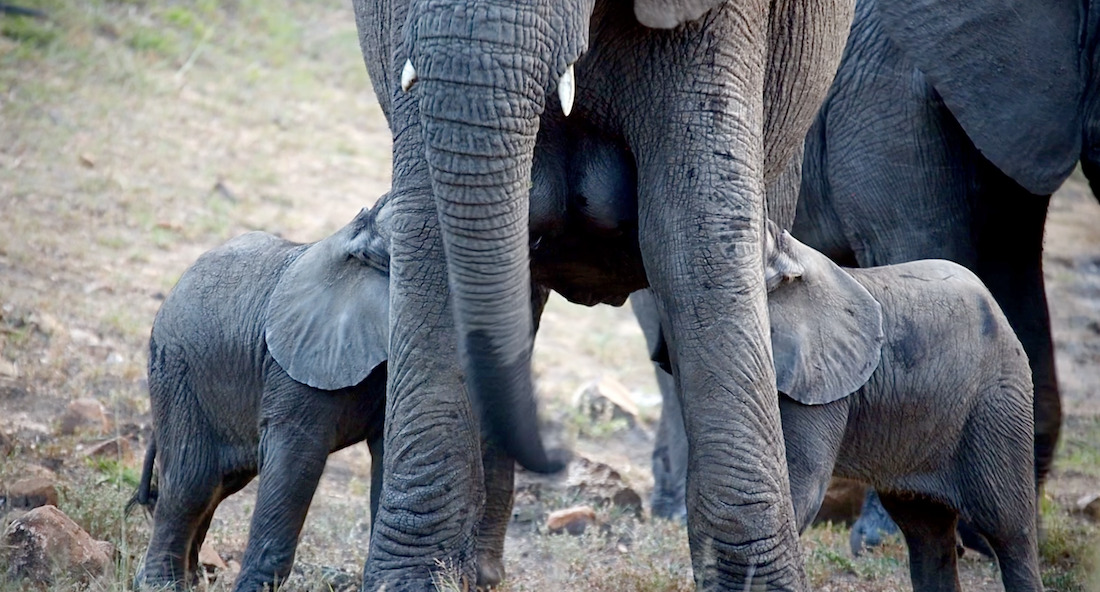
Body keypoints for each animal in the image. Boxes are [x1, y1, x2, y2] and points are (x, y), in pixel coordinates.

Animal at [131, 204, 392, 592]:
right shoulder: (293, 362)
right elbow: (297, 457)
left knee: (220, 482)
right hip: (175, 370)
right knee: (192, 482)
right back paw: (160, 585)